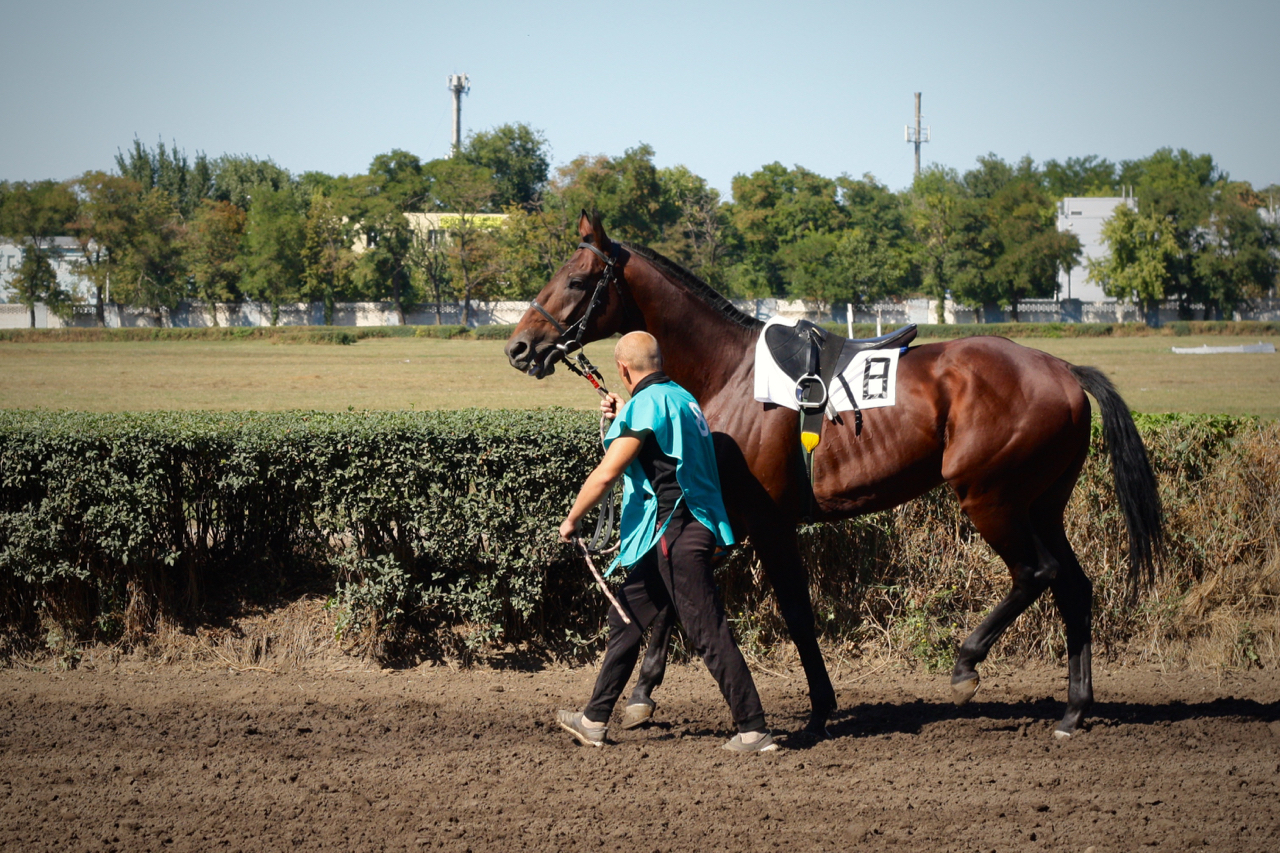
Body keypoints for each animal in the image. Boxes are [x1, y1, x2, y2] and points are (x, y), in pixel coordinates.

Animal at [501, 212, 1162, 737]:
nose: (519, 347)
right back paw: (1073, 710)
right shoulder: (731, 516)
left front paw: (819, 705)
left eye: (577, 280)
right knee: (1074, 586)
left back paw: (967, 663)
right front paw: (640, 693)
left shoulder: (764, 520)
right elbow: (668, 596)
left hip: (989, 497)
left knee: (1036, 572)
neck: (729, 370)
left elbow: (792, 611)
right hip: (1042, 502)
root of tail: (1064, 370)